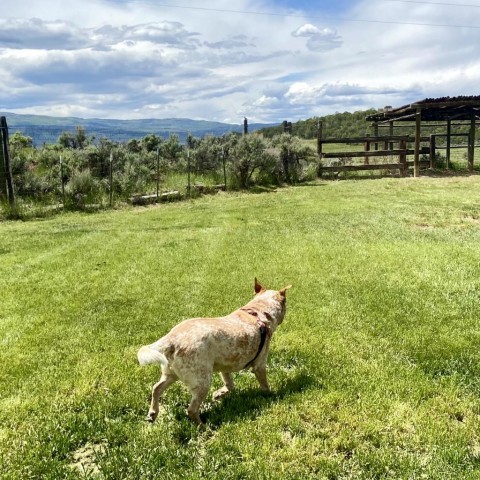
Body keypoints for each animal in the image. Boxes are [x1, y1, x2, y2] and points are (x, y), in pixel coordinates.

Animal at [137, 280, 290, 426]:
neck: (258, 311)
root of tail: (171, 338)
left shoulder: (227, 364)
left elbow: (229, 384)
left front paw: (219, 394)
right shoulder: (260, 364)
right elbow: (264, 385)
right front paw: (272, 395)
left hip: (171, 373)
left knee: (156, 388)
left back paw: (152, 413)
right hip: (202, 381)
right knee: (191, 410)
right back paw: (204, 428)